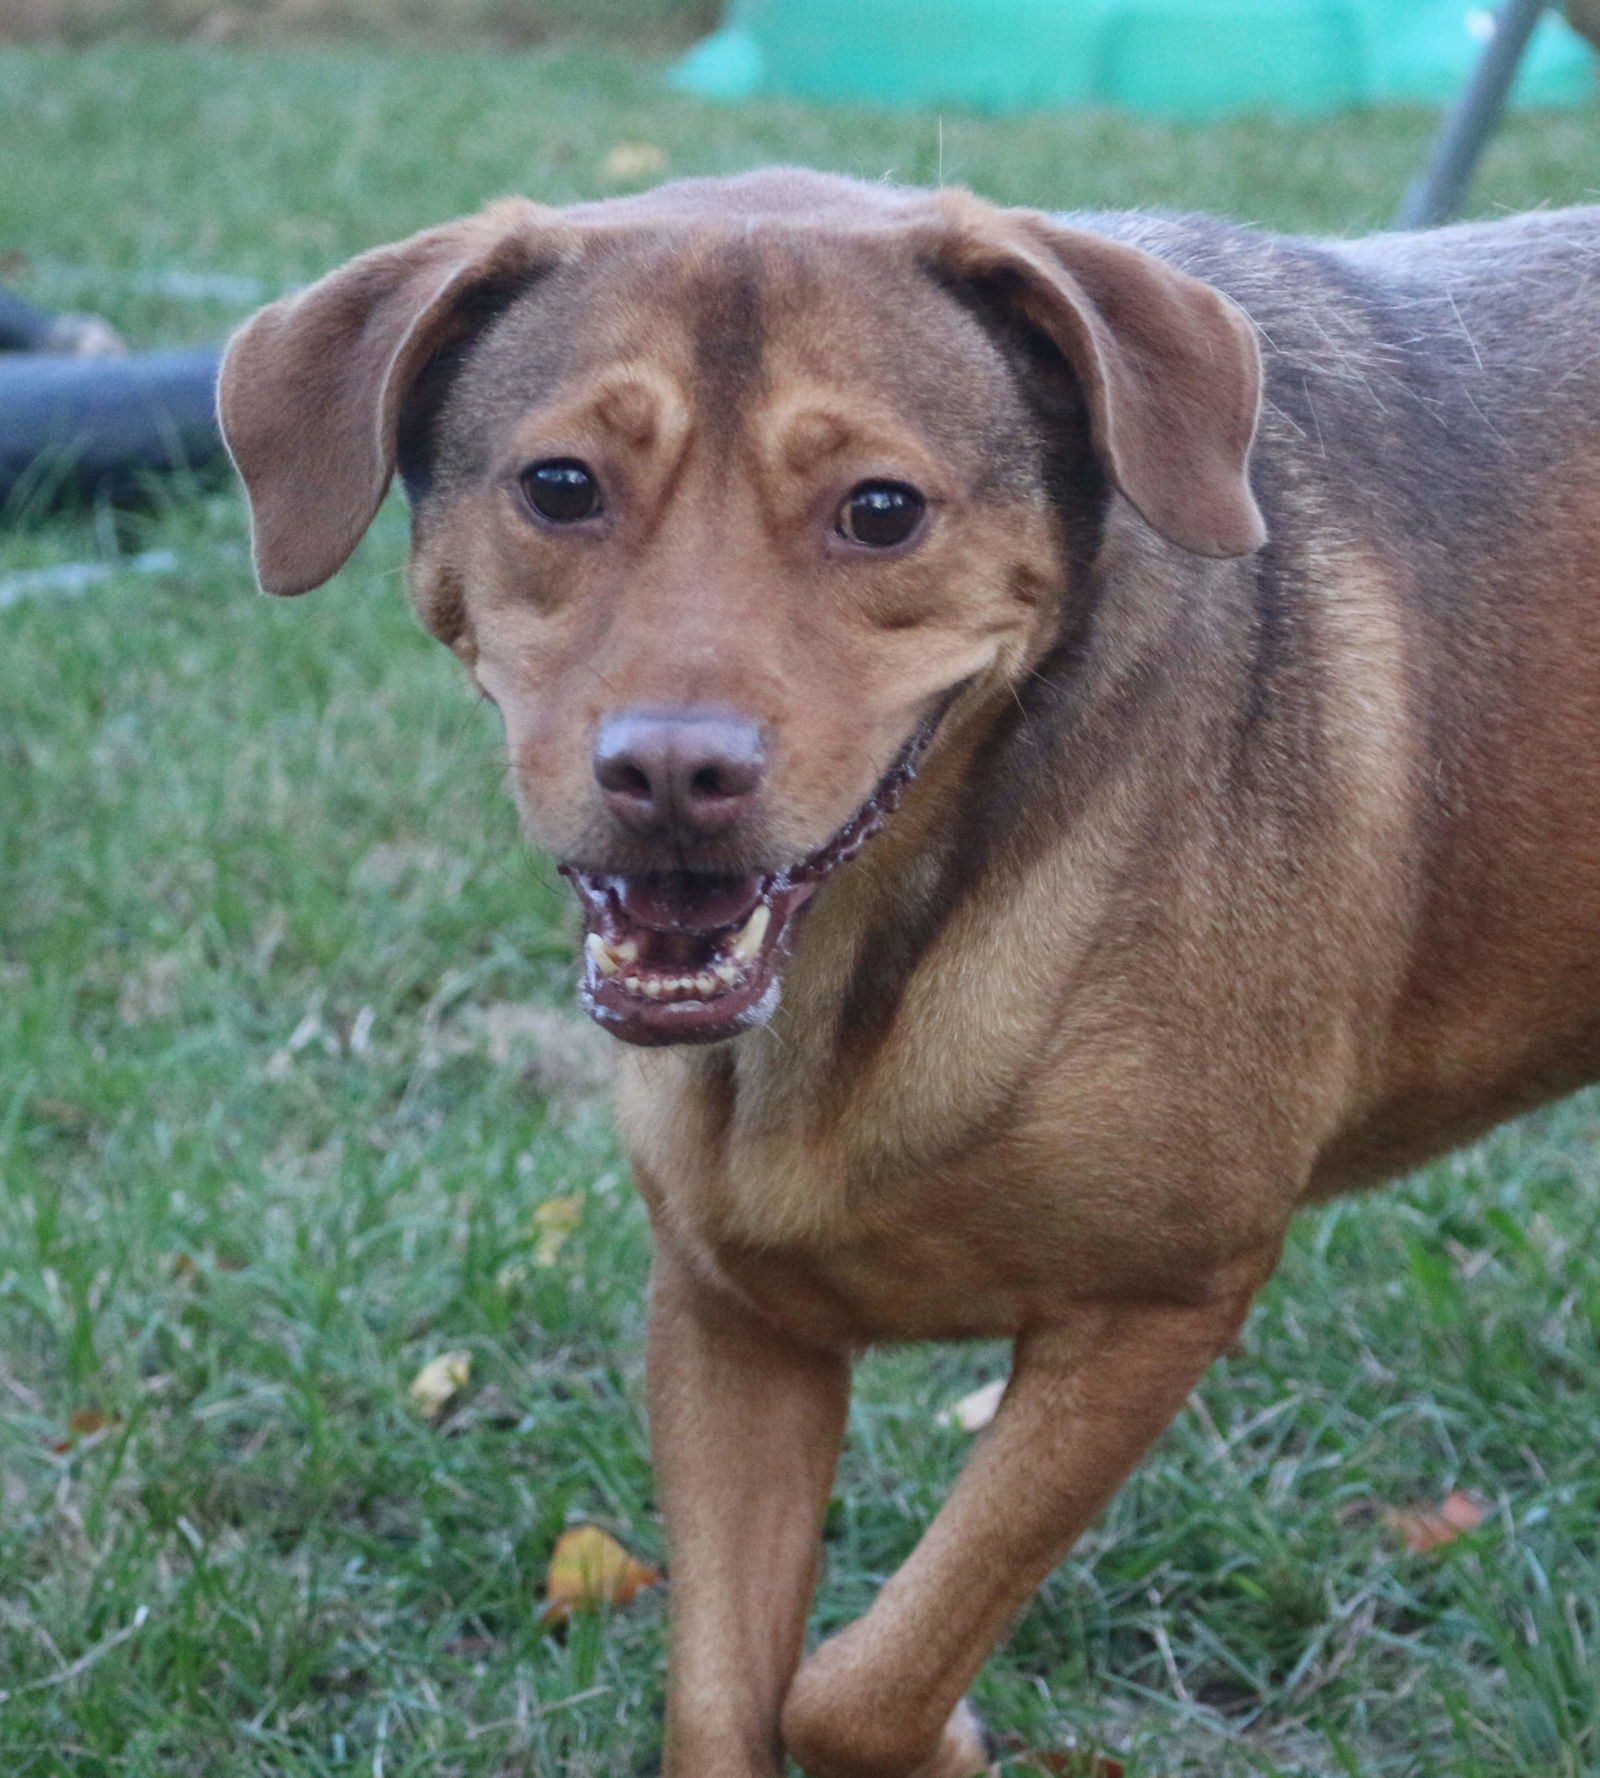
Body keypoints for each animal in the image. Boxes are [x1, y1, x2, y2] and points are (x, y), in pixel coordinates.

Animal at [212, 169, 1600, 1778]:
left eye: (881, 511)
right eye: (559, 486)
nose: (671, 774)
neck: (864, 970)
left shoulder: (1158, 1303)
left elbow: (859, 1683)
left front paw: (944, 1741)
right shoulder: (729, 1320)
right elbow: (730, 1702)